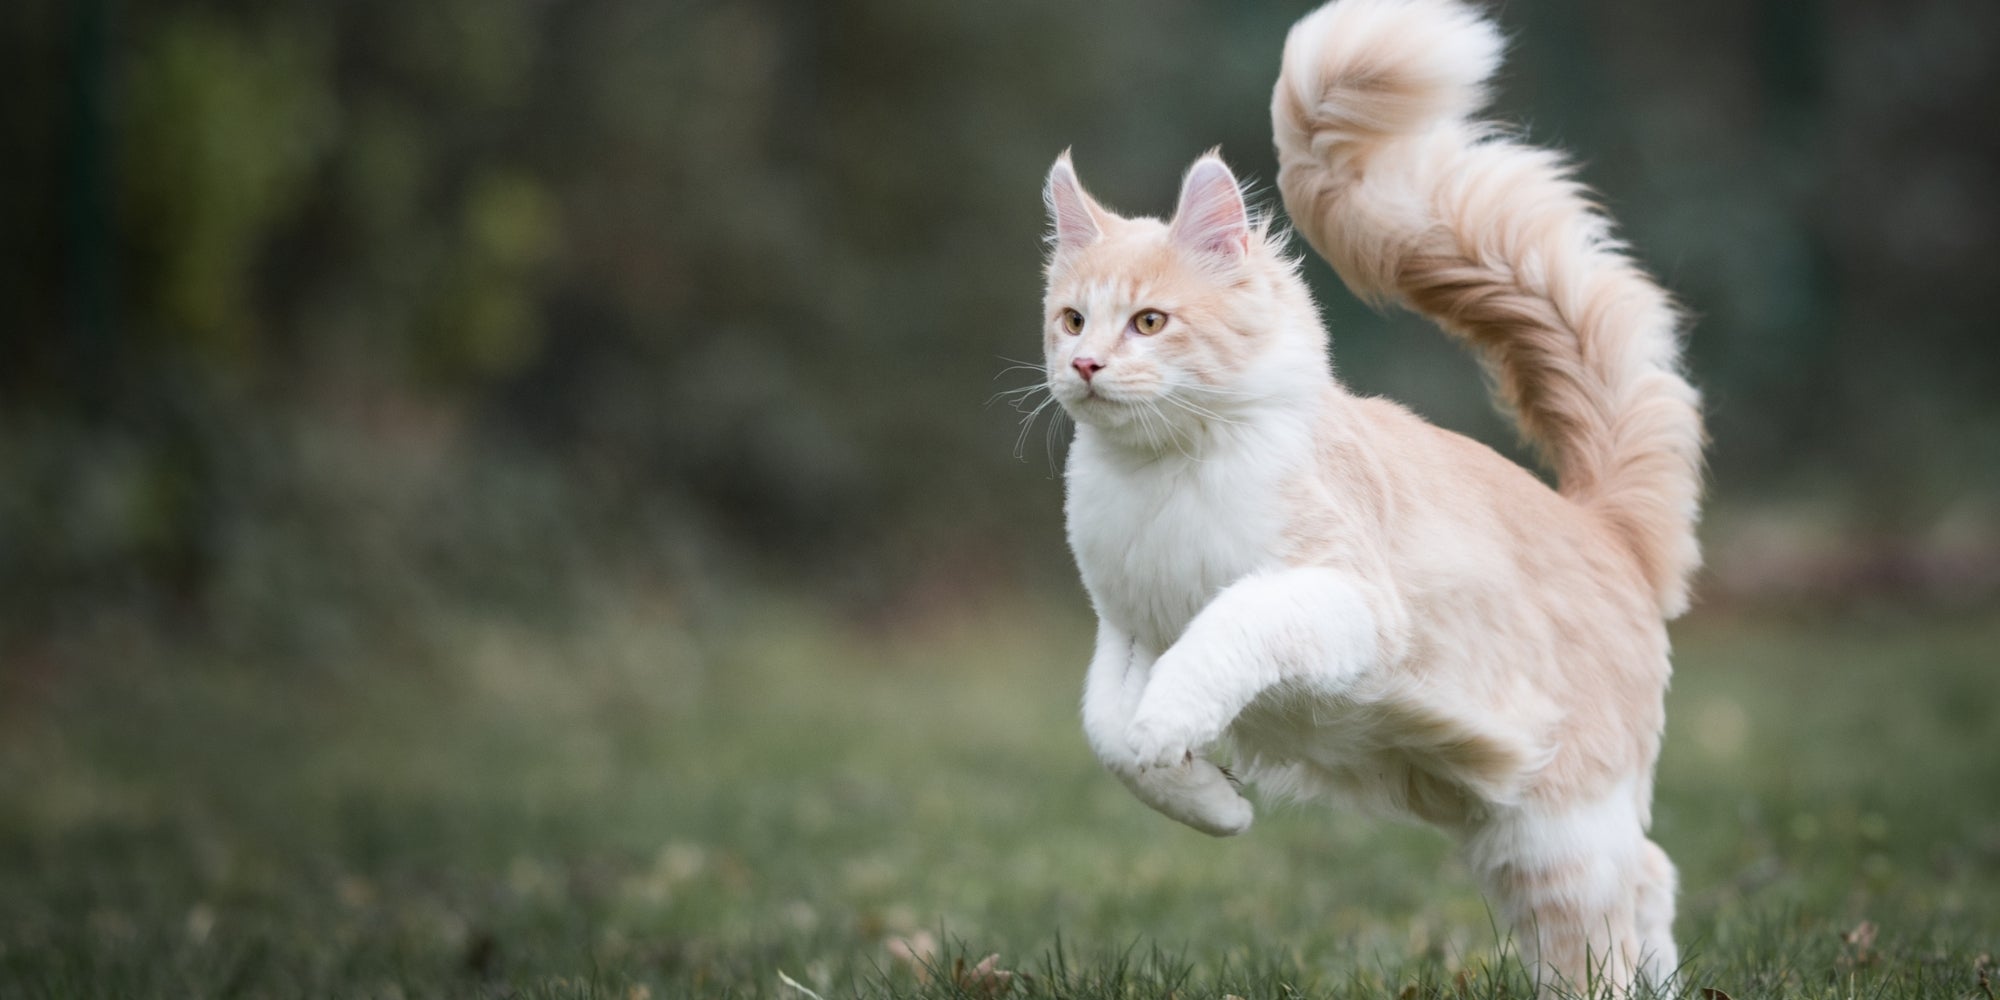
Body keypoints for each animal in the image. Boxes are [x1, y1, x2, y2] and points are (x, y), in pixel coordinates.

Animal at [1040, 0, 1712, 992]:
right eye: (1073, 320)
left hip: (1557, 835)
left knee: (1606, 933)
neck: (1159, 476)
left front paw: (1177, 726)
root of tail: (1605, 526)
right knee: (1652, 876)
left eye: (1150, 323)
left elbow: (1221, 636)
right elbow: (1108, 735)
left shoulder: (1339, 597)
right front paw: (1215, 804)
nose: (1085, 366)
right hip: (1503, 822)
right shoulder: (1127, 630)